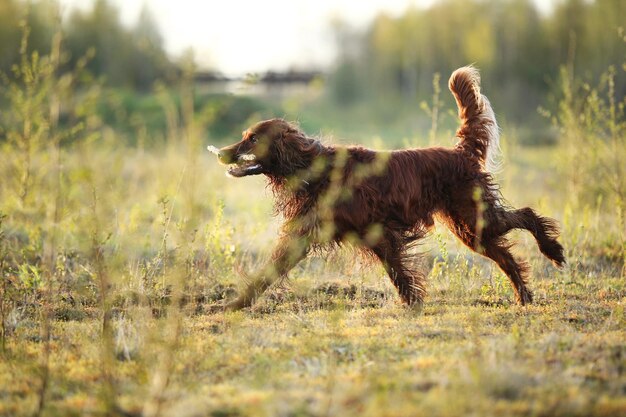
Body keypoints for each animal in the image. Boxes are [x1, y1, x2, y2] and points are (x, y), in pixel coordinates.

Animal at [211, 66, 564, 308]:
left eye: (252, 139)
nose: (222, 153)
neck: (314, 167)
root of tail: (460, 153)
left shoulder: (378, 232)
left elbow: (397, 271)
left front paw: (412, 302)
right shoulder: (306, 236)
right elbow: (268, 272)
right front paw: (235, 304)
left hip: (475, 218)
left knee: (527, 214)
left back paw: (552, 250)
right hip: (470, 228)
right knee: (507, 257)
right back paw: (524, 295)